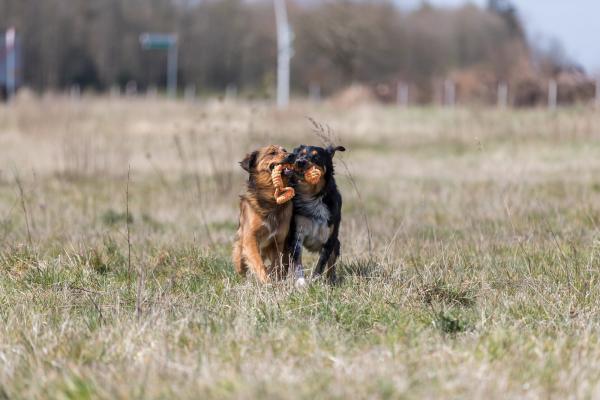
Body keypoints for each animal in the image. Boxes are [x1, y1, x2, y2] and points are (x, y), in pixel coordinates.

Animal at [231, 145, 294, 282]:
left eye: (285, 151)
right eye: (272, 153)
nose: (292, 155)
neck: (271, 198)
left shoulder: (278, 241)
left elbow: (276, 264)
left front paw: (273, 278)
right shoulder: (250, 239)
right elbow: (258, 263)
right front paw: (266, 281)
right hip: (240, 249)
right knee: (240, 265)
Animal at [286, 144, 346, 284]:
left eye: (316, 157)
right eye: (300, 154)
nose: (300, 162)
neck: (311, 196)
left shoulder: (330, 239)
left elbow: (321, 263)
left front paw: (315, 281)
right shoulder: (297, 235)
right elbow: (297, 262)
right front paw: (301, 282)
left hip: (336, 243)